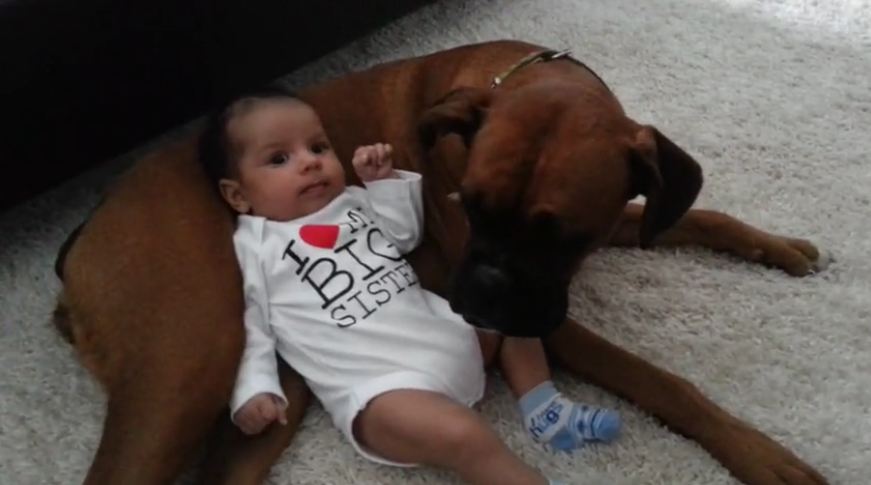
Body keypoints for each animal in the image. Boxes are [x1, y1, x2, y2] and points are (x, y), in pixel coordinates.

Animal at [56, 39, 832, 482]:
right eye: (470, 206)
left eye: (562, 237)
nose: (481, 292)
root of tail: (83, 234)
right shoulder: (555, 321)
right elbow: (663, 382)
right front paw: (762, 455)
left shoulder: (616, 219)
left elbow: (698, 215)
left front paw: (779, 247)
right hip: (189, 362)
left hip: (273, 392)